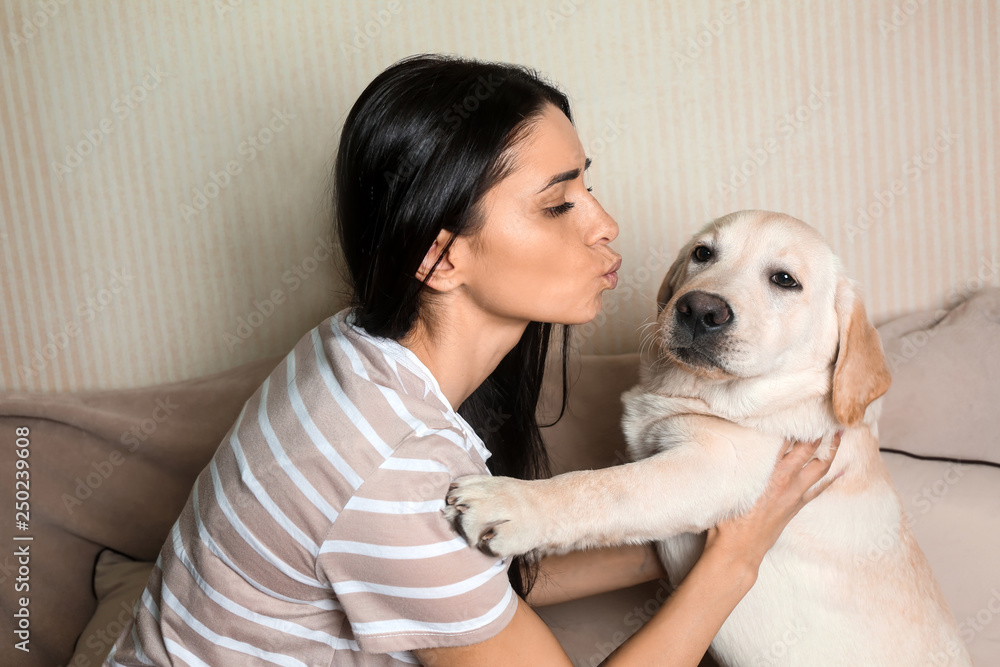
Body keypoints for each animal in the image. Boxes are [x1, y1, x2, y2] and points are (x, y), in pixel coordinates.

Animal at [444, 211, 968, 664]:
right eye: (702, 253)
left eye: (784, 280)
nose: (699, 310)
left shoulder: (717, 466)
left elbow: (606, 488)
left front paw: (514, 502)